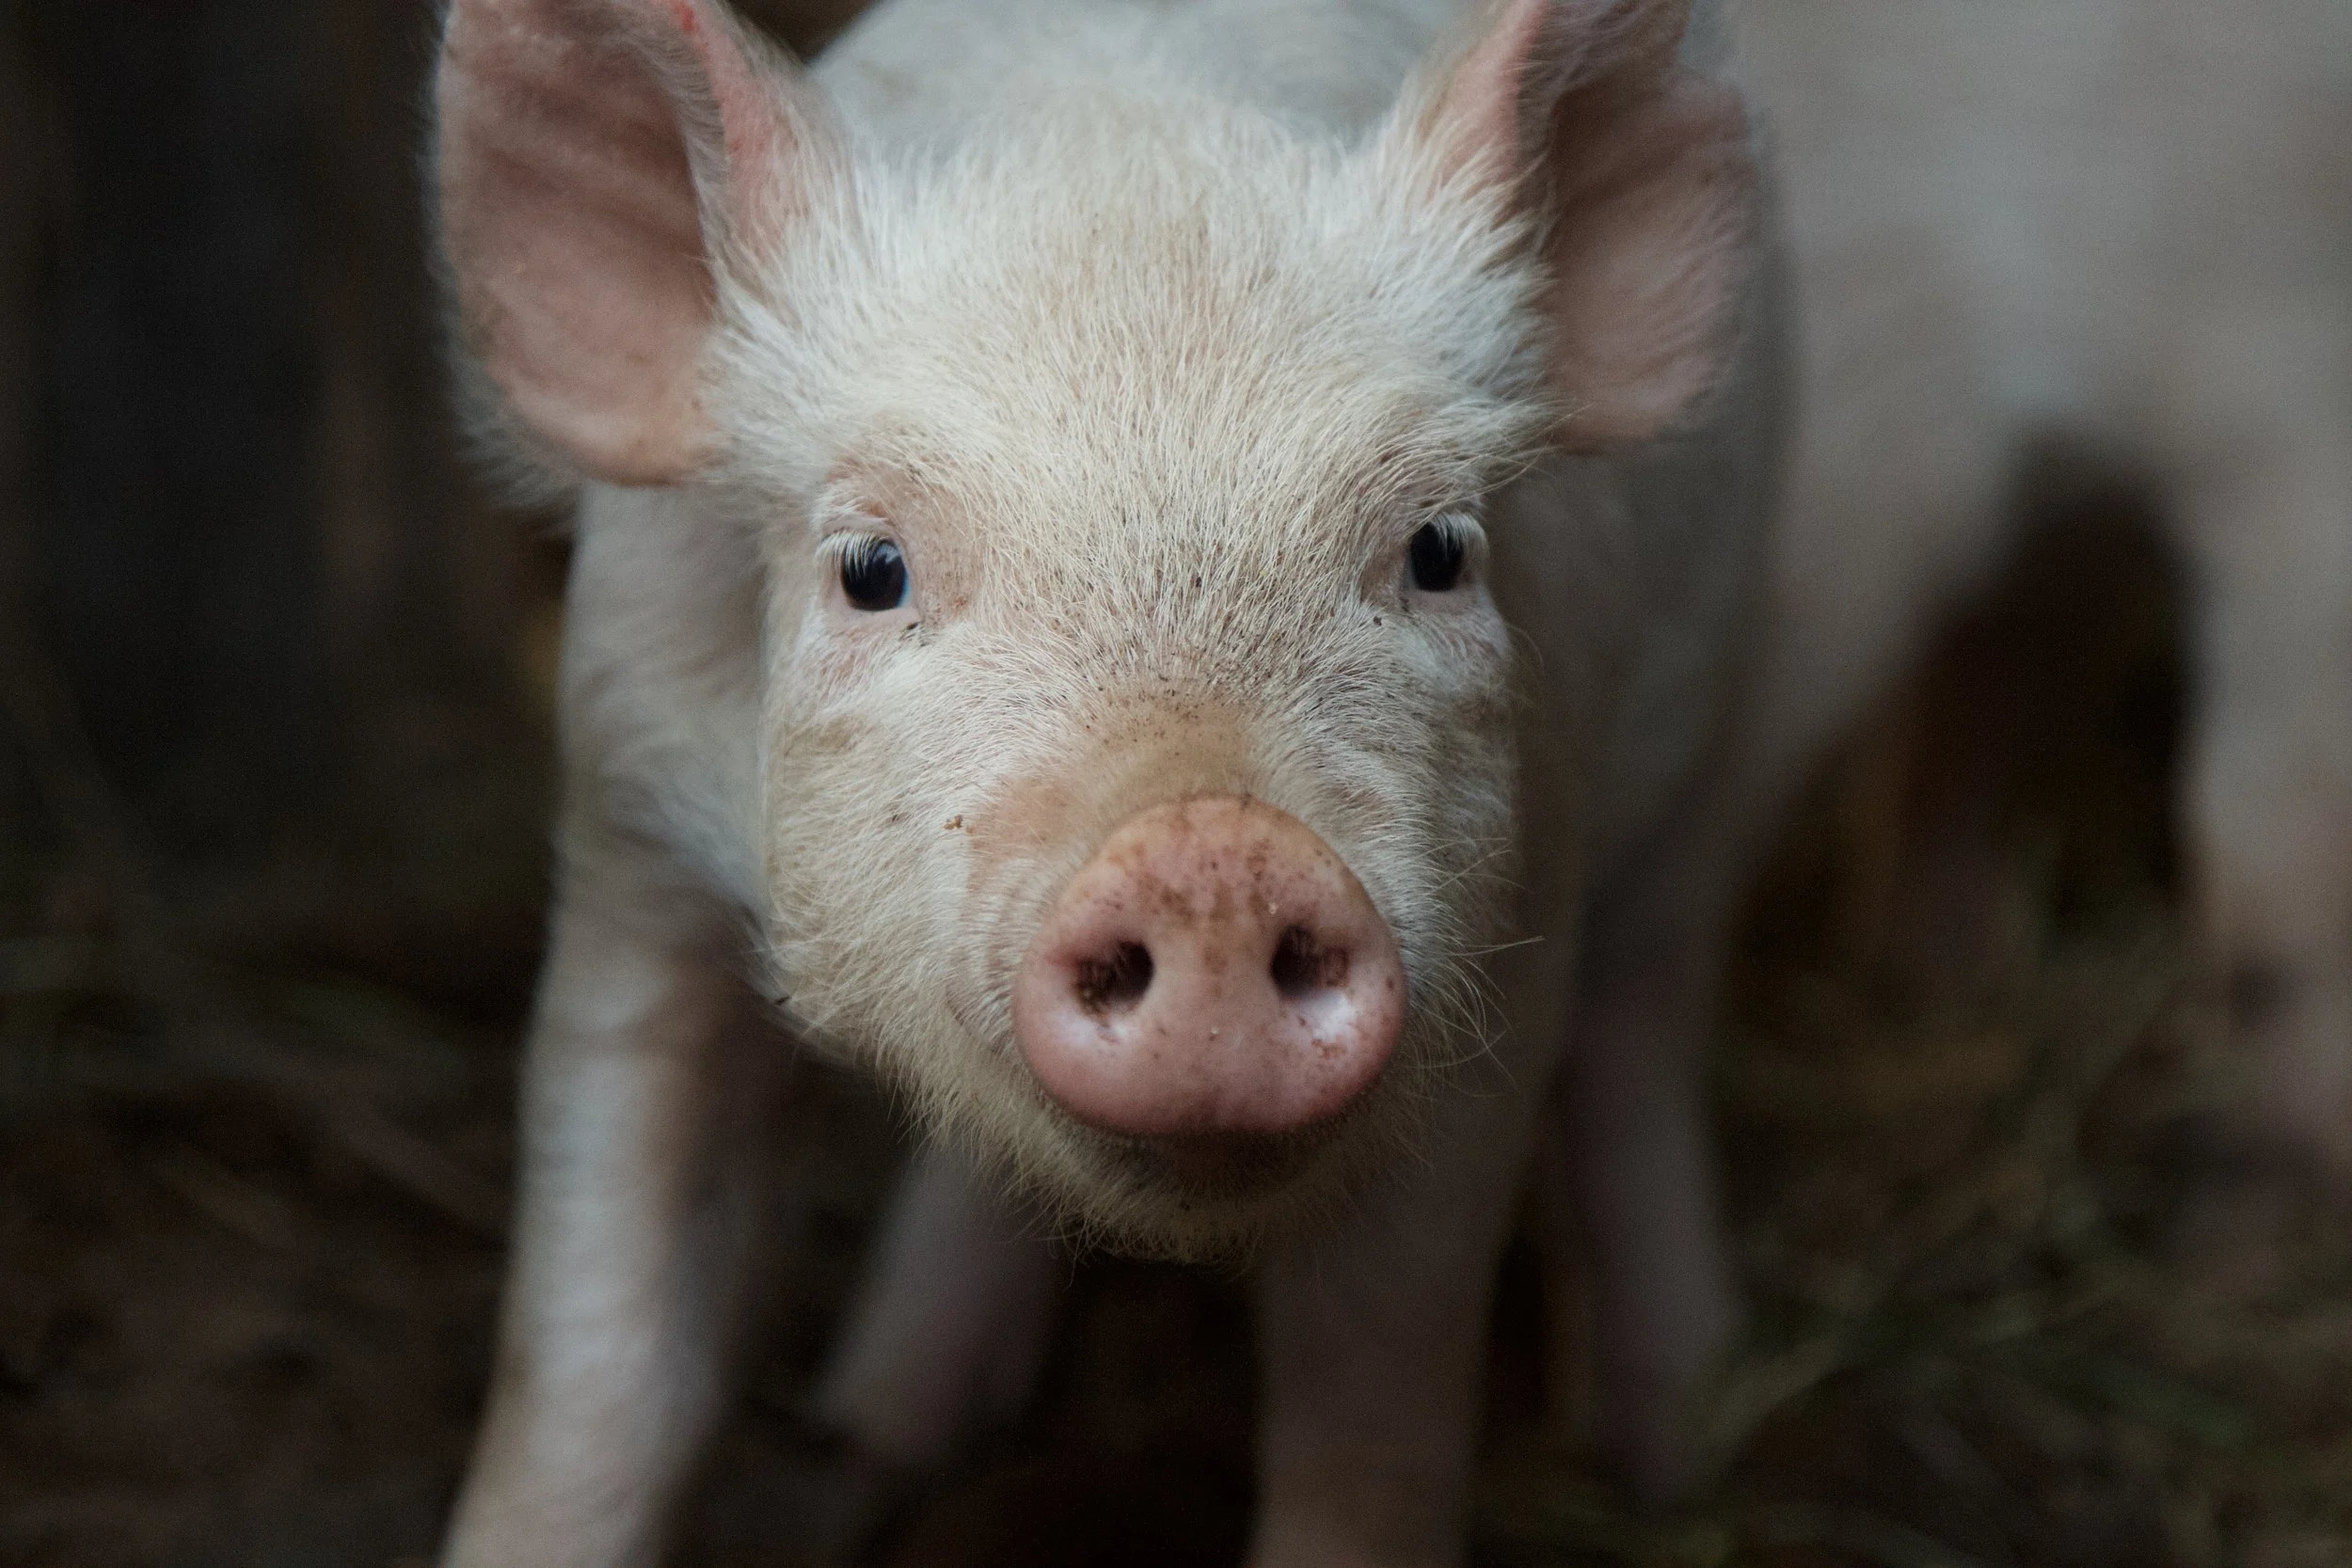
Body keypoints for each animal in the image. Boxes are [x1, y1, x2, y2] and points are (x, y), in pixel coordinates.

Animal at [428, 0, 1786, 1561]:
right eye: (872, 568)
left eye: (1440, 549)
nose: (1214, 852)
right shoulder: (629, 828)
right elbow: (599, 1358)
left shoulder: (1513, 927)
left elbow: (1373, 1403)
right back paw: (885, 1417)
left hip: (1718, 708)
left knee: (1648, 1023)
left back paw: (1677, 1445)